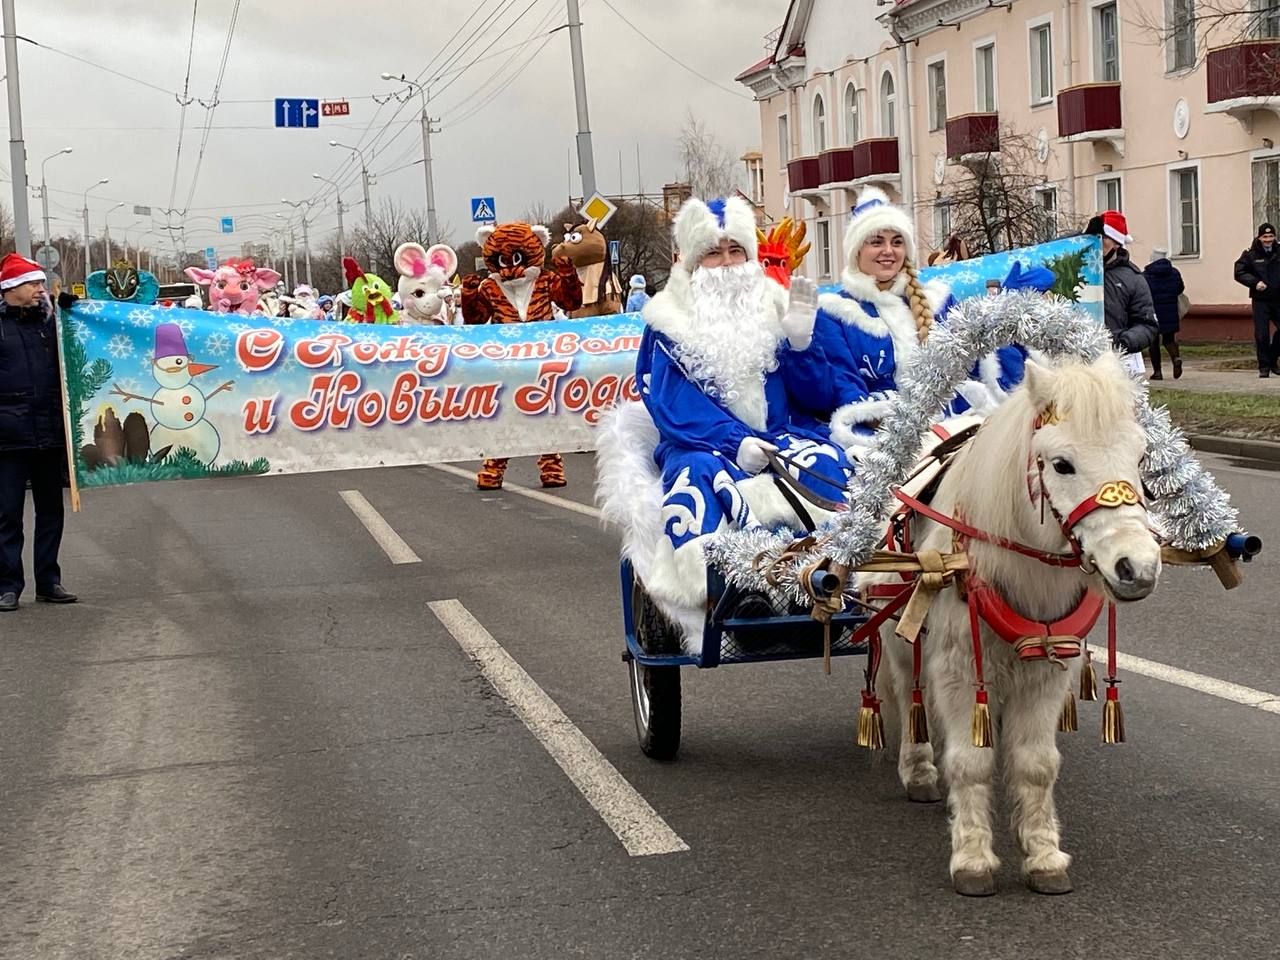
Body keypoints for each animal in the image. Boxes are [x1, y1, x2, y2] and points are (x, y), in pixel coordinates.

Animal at [870, 353, 1162, 901]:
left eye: (1140, 458)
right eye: (1062, 463)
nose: (1137, 567)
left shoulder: (1046, 670)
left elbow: (1036, 764)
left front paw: (1044, 856)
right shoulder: (960, 668)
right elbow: (970, 761)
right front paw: (972, 858)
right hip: (900, 637)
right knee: (908, 692)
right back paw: (919, 769)